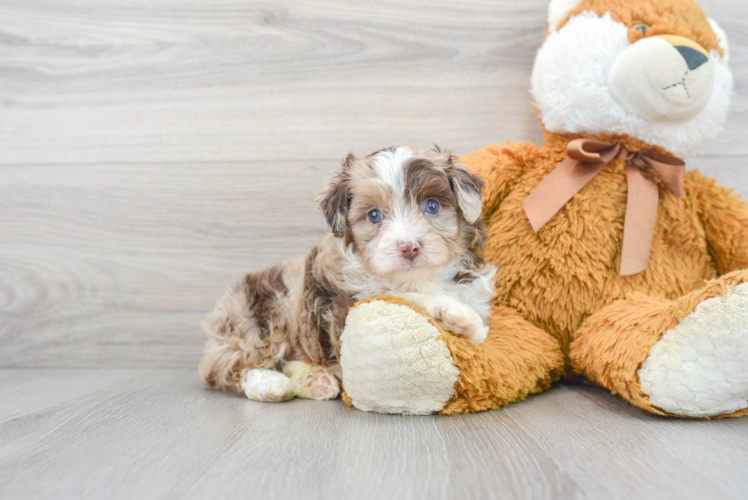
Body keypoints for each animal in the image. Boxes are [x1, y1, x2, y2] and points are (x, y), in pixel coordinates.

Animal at [199, 146, 496, 402]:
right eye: (374, 216)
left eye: (432, 206)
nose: (409, 247)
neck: (418, 276)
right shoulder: (347, 306)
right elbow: (398, 296)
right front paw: (456, 313)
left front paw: (470, 325)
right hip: (260, 315)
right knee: (224, 368)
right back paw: (270, 384)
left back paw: (315, 380)